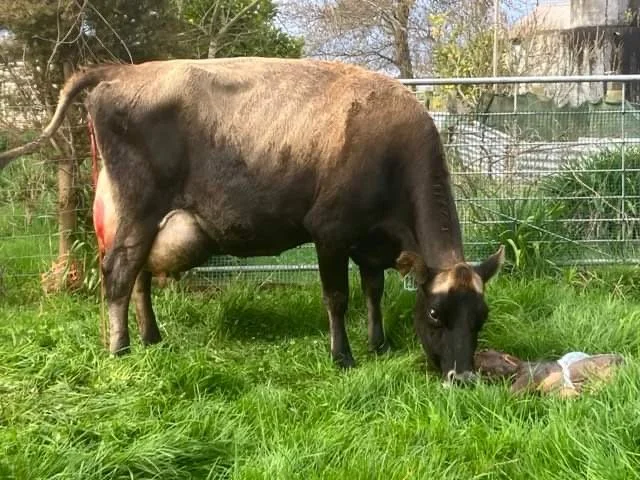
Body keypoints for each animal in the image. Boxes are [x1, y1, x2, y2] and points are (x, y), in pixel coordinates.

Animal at [0, 57, 504, 382]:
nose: (464, 378)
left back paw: (151, 337)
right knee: (118, 276)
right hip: (136, 209)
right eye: (436, 314)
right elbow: (337, 298)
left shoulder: (371, 242)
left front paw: (379, 343)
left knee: (139, 275)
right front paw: (343, 356)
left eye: (481, 317)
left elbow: (374, 291)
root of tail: (125, 70)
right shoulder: (330, 231)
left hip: (146, 221)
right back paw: (120, 349)